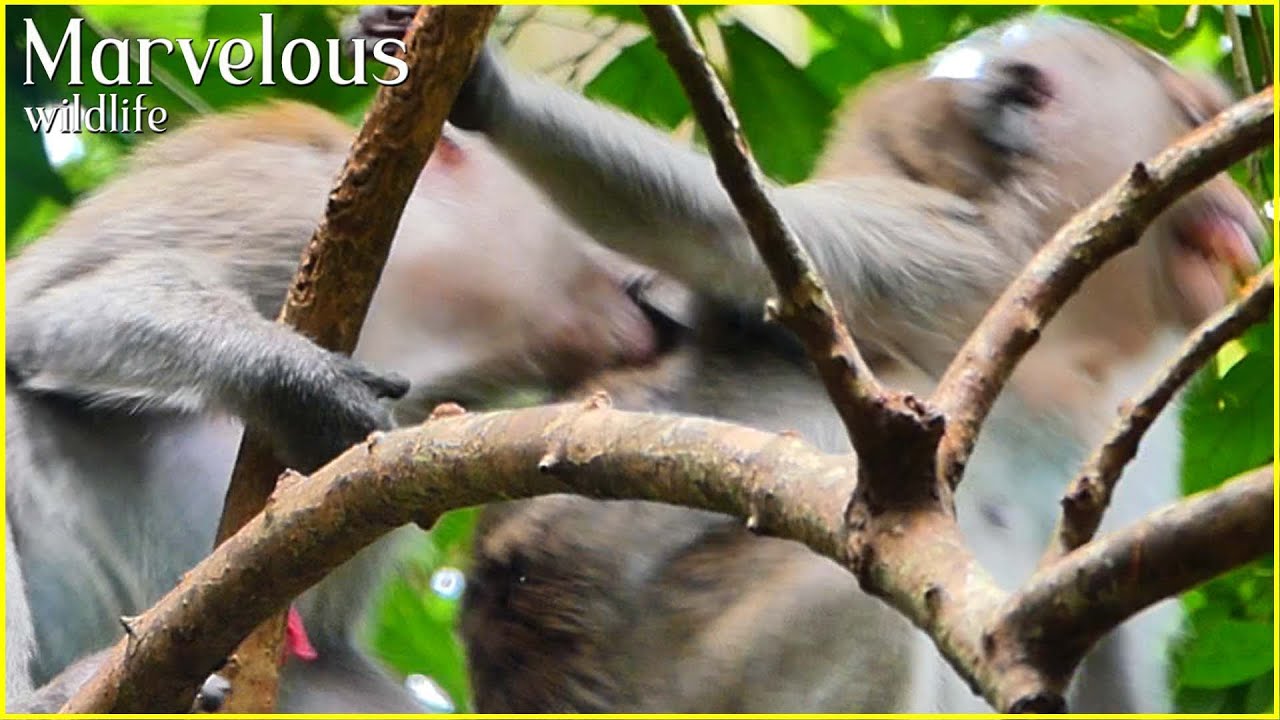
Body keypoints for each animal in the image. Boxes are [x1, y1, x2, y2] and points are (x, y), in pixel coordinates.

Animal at [354, 8, 1267, 713]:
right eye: (1193, 115)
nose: (1247, 208)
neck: (1080, 347)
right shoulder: (957, 257)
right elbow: (735, 230)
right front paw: (486, 90)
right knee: (853, 603)